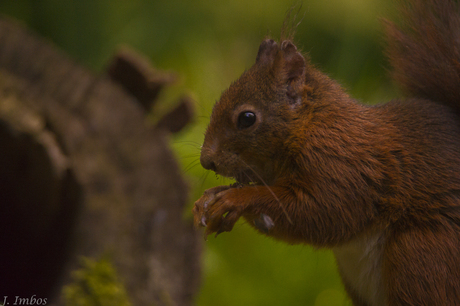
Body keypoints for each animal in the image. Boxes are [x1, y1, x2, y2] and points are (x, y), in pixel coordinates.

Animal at [192, 1, 460, 304]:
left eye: (247, 118)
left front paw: (235, 199)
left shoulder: (344, 168)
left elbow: (321, 211)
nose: (206, 160)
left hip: (421, 255)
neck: (311, 126)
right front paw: (208, 198)